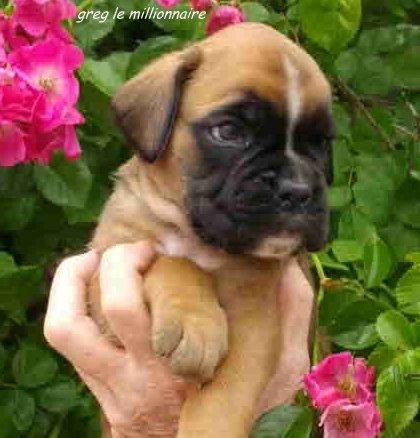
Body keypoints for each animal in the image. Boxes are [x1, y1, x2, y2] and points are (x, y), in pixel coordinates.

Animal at [88, 22, 334, 437]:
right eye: (229, 131)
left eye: (320, 143)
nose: (298, 190)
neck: (195, 236)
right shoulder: (104, 269)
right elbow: (172, 262)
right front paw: (194, 319)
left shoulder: (255, 316)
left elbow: (224, 399)